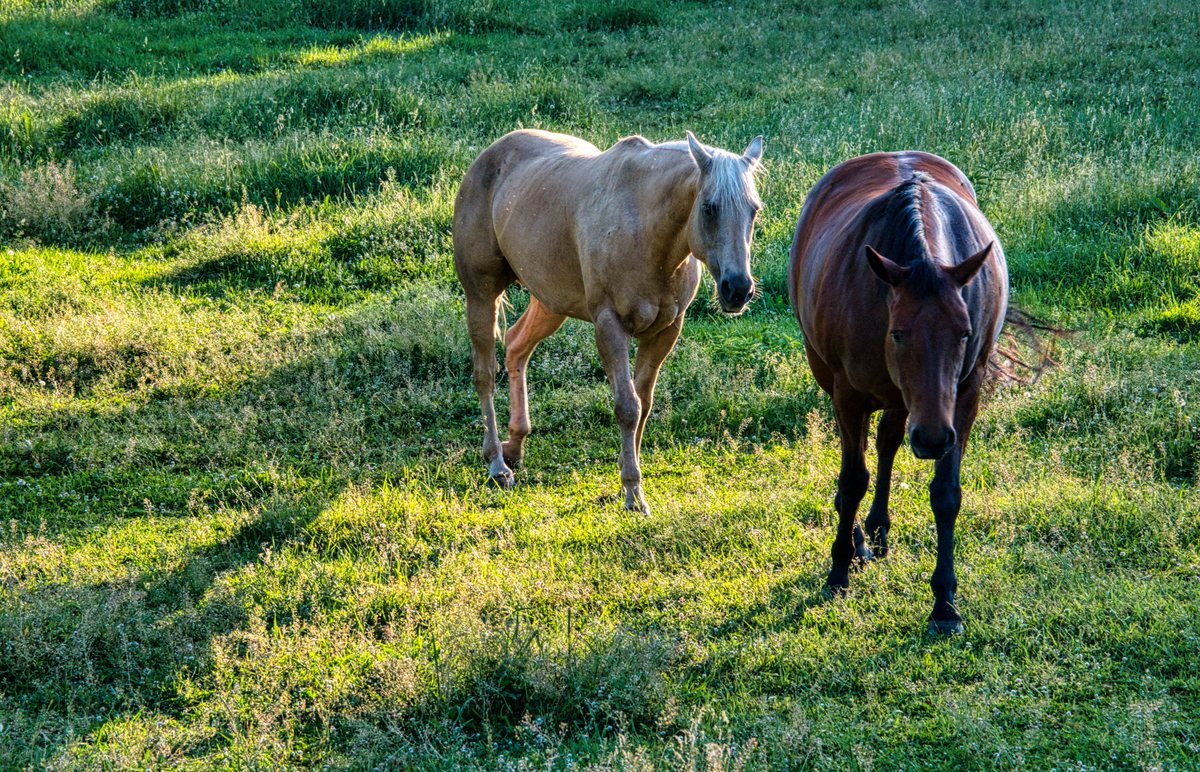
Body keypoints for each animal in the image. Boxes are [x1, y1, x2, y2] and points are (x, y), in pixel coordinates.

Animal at [454, 129, 764, 513]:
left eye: (754, 210)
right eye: (709, 207)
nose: (738, 289)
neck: (647, 233)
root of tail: (490, 154)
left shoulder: (665, 331)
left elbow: (643, 404)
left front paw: (627, 478)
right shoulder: (610, 326)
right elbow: (627, 406)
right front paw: (632, 493)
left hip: (550, 302)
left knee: (516, 346)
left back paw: (516, 444)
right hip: (481, 296)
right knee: (484, 374)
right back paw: (497, 464)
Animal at [788, 151, 1008, 634]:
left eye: (965, 333)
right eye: (898, 333)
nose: (930, 439)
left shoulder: (963, 395)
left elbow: (946, 492)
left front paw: (944, 602)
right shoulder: (849, 393)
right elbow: (852, 479)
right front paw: (838, 570)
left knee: (887, 441)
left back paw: (877, 526)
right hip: (831, 375)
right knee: (858, 454)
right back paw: (857, 539)